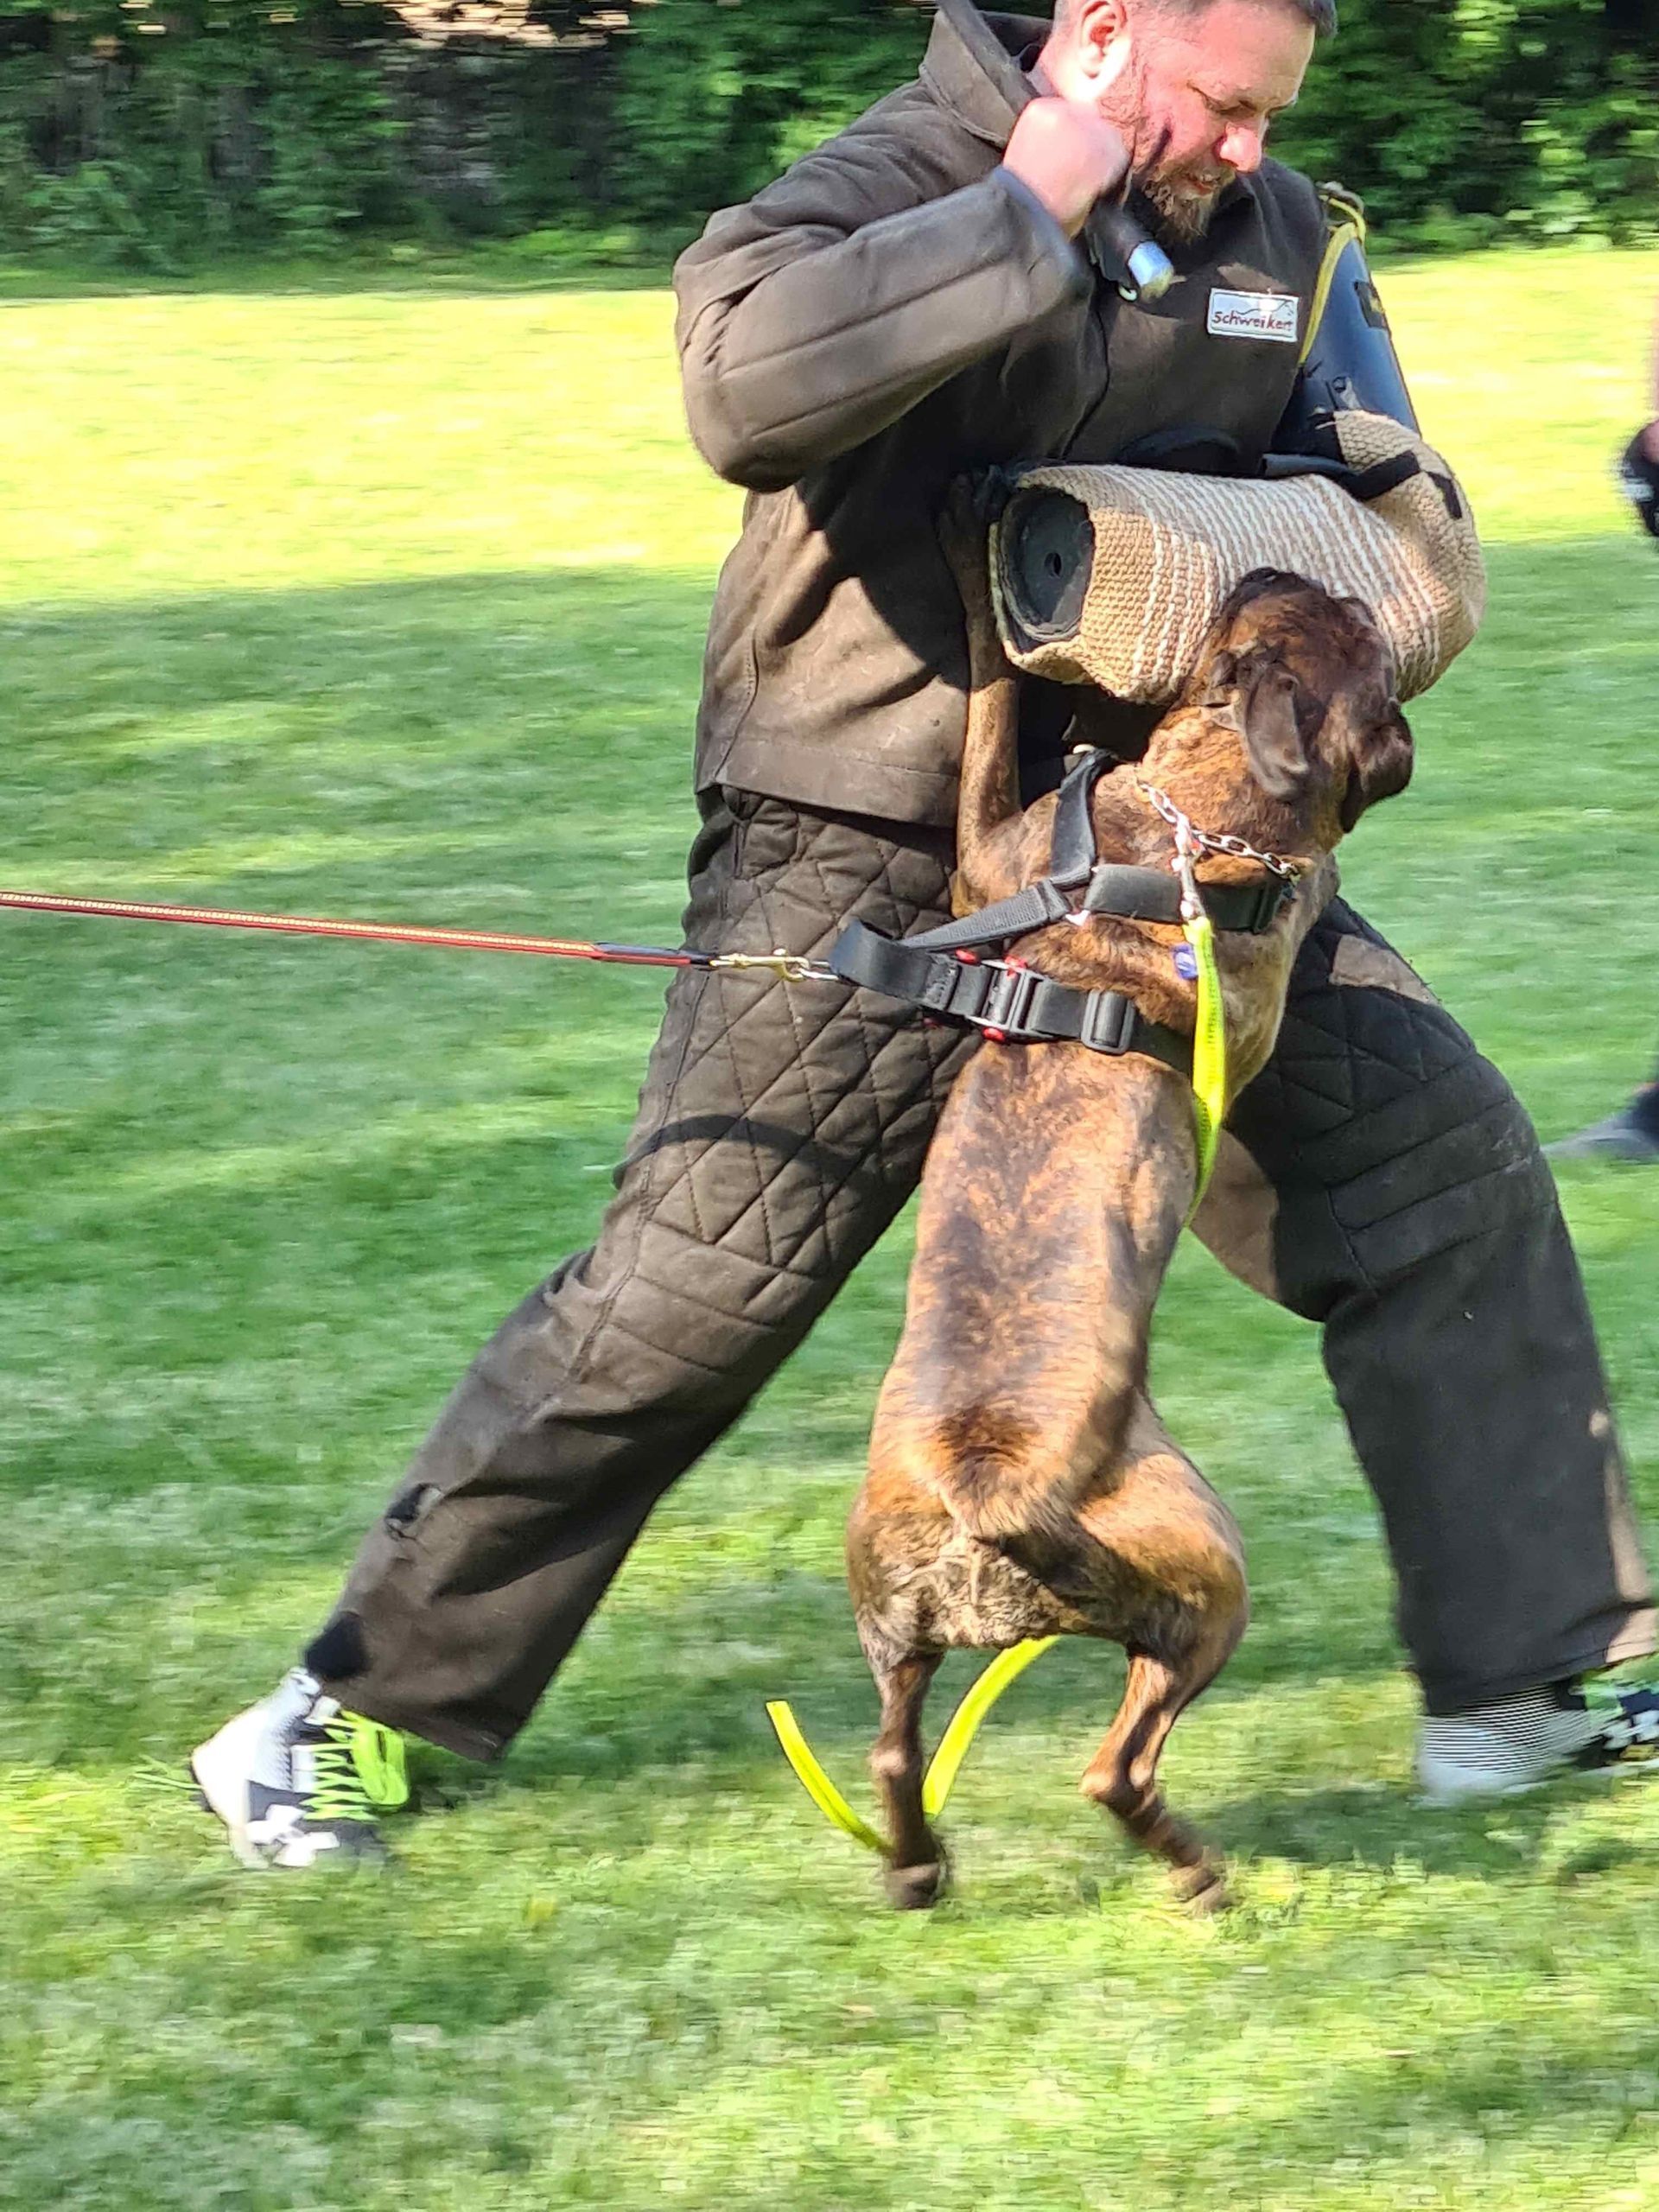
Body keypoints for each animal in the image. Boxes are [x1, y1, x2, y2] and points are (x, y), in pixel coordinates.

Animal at [844, 511, 1414, 1913]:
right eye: (1358, 629)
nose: (1269, 562)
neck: (1194, 825)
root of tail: (988, 1491)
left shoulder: (987, 855)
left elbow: (989, 710)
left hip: (909, 1612)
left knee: (900, 1756)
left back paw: (920, 1872)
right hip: (1205, 1575)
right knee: (1116, 1767)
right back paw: (1200, 1875)